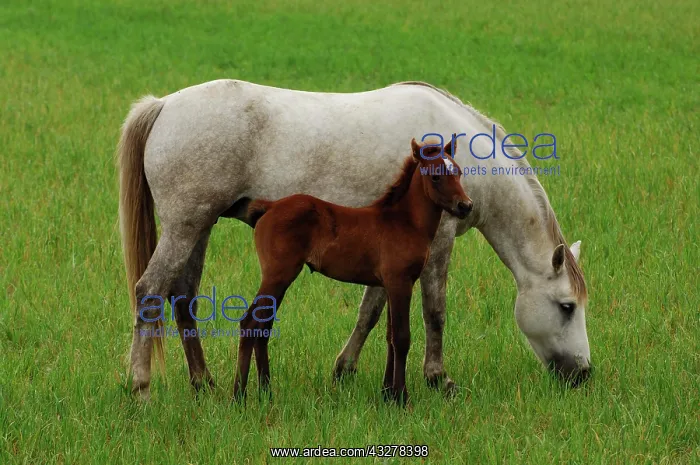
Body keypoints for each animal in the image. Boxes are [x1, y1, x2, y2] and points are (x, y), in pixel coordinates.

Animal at [234, 137, 472, 404]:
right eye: (435, 176)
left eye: (458, 172)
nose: (465, 206)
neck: (405, 222)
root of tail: (270, 207)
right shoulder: (400, 282)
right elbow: (401, 338)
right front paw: (402, 398)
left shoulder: (390, 284)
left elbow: (390, 337)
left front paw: (388, 394)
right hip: (277, 276)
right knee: (250, 323)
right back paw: (238, 396)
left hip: (281, 279)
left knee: (263, 327)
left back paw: (266, 392)